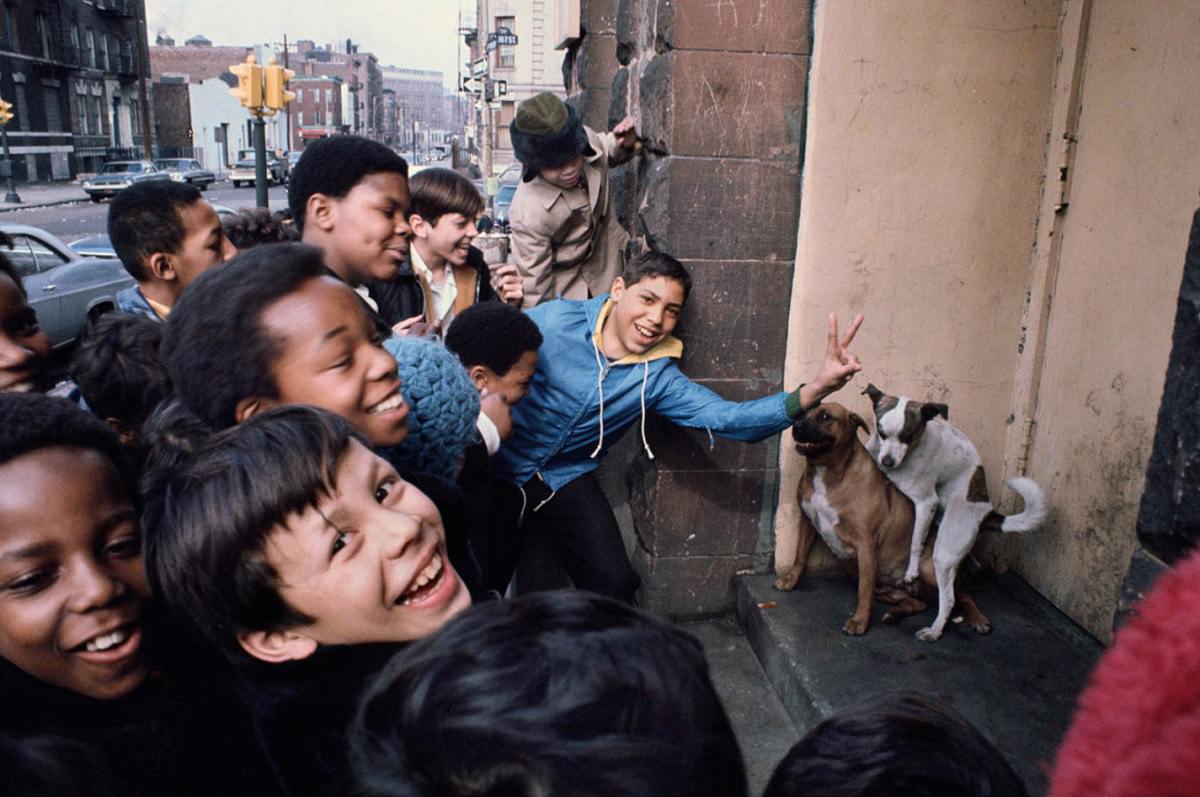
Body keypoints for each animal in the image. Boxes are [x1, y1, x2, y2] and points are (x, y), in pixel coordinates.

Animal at [777, 405, 964, 633]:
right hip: (881, 585)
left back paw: (976, 621)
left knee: (959, 596)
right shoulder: (807, 522)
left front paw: (860, 621)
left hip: (930, 570)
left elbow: (863, 590)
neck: (826, 471)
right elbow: (800, 557)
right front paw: (790, 581)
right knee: (916, 602)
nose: (796, 427)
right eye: (802, 414)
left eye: (825, 416)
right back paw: (895, 613)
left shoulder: (865, 544)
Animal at [859, 384, 1046, 643]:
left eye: (908, 436)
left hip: (944, 555)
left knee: (948, 599)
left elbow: (916, 542)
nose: (887, 462)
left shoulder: (926, 502)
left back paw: (936, 630)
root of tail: (987, 512)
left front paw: (911, 571)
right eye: (881, 432)